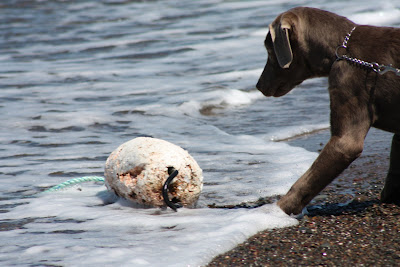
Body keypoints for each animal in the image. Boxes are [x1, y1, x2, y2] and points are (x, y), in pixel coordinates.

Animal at [256, 6, 400, 216]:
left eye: (269, 51)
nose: (258, 86)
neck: (342, 50)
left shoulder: (346, 131)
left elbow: (307, 180)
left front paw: (274, 211)